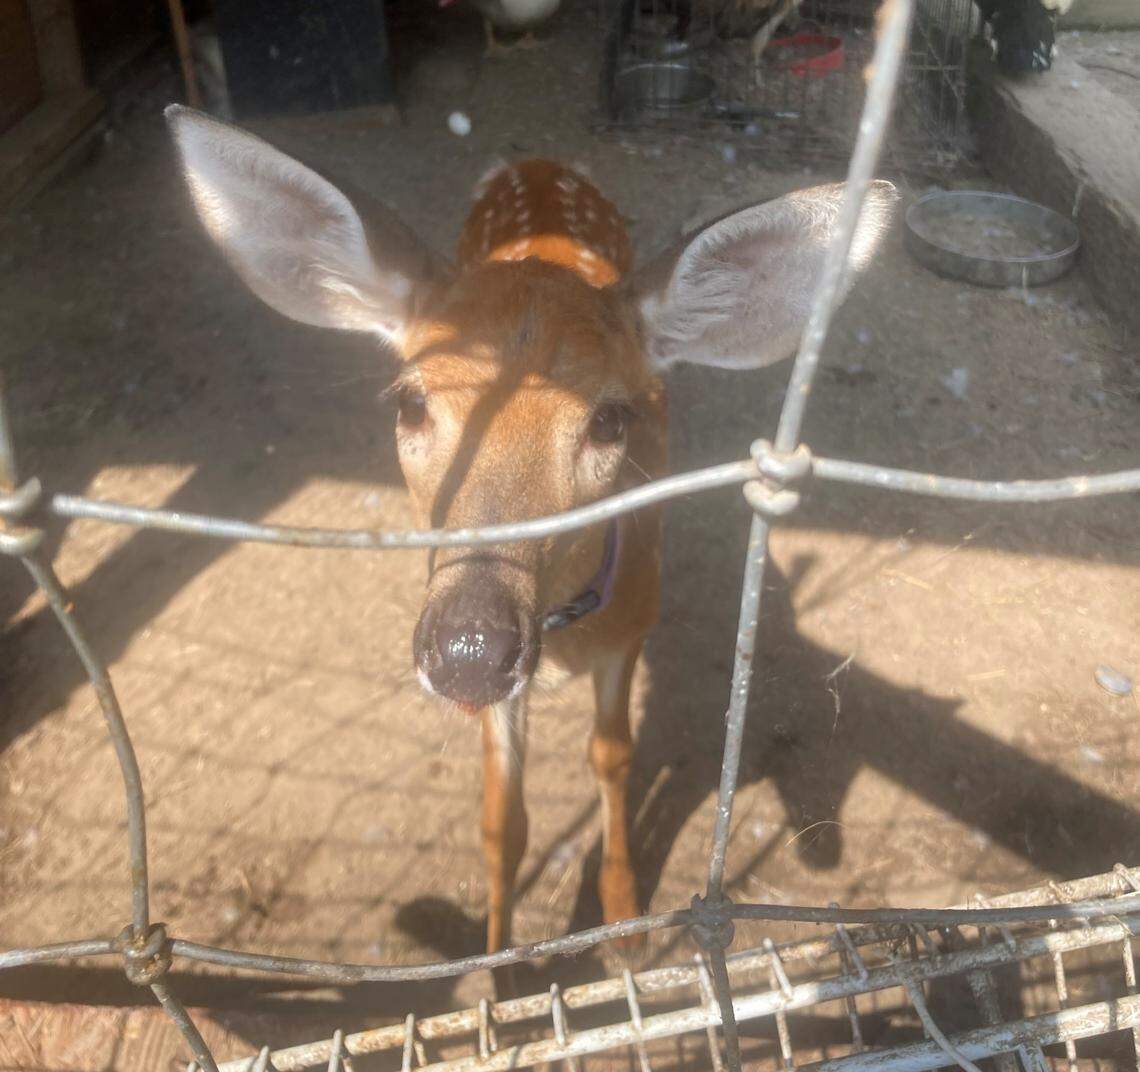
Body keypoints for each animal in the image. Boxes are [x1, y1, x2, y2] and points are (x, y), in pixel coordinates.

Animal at [165, 104, 895, 960]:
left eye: (611, 419)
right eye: (409, 402)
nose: (470, 649)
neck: (565, 637)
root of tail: (541, 164)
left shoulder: (631, 629)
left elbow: (612, 757)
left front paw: (623, 923)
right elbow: (501, 818)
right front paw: (501, 960)